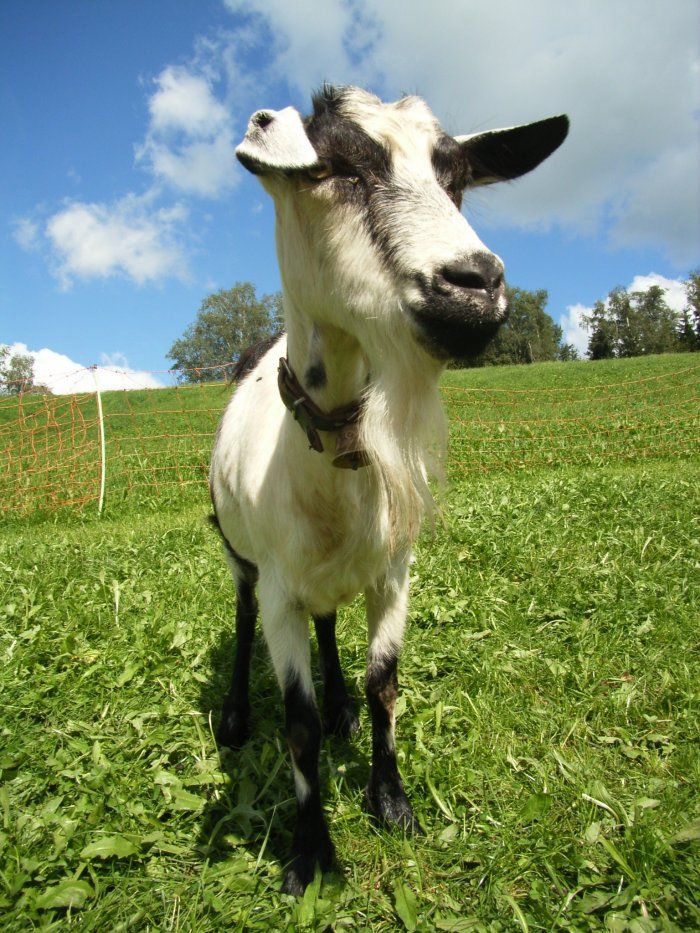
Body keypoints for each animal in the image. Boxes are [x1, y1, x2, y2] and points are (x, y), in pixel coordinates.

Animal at [209, 87, 568, 896]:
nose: (474, 286)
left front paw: (392, 800)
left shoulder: (394, 570)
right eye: (333, 168)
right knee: (242, 617)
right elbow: (299, 723)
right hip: (242, 560)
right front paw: (308, 855)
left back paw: (339, 700)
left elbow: (384, 683)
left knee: (330, 628)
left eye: (455, 177)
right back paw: (237, 717)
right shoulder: (280, 587)